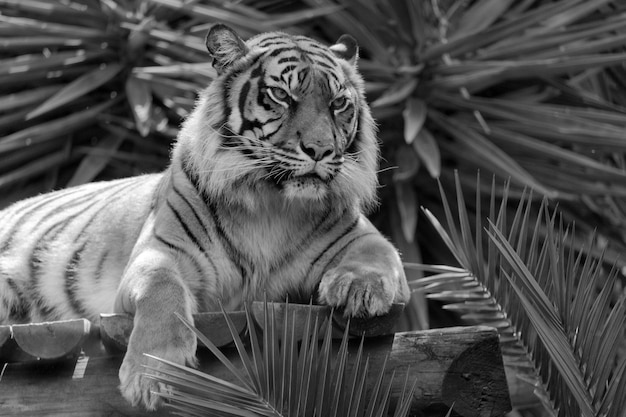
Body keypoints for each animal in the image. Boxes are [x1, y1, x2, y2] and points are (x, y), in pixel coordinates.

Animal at [0, 24, 410, 408]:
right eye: (281, 95)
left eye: (338, 103)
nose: (320, 150)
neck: (272, 202)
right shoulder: (160, 252)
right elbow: (162, 289)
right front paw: (154, 374)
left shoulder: (364, 237)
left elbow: (377, 256)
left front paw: (359, 288)